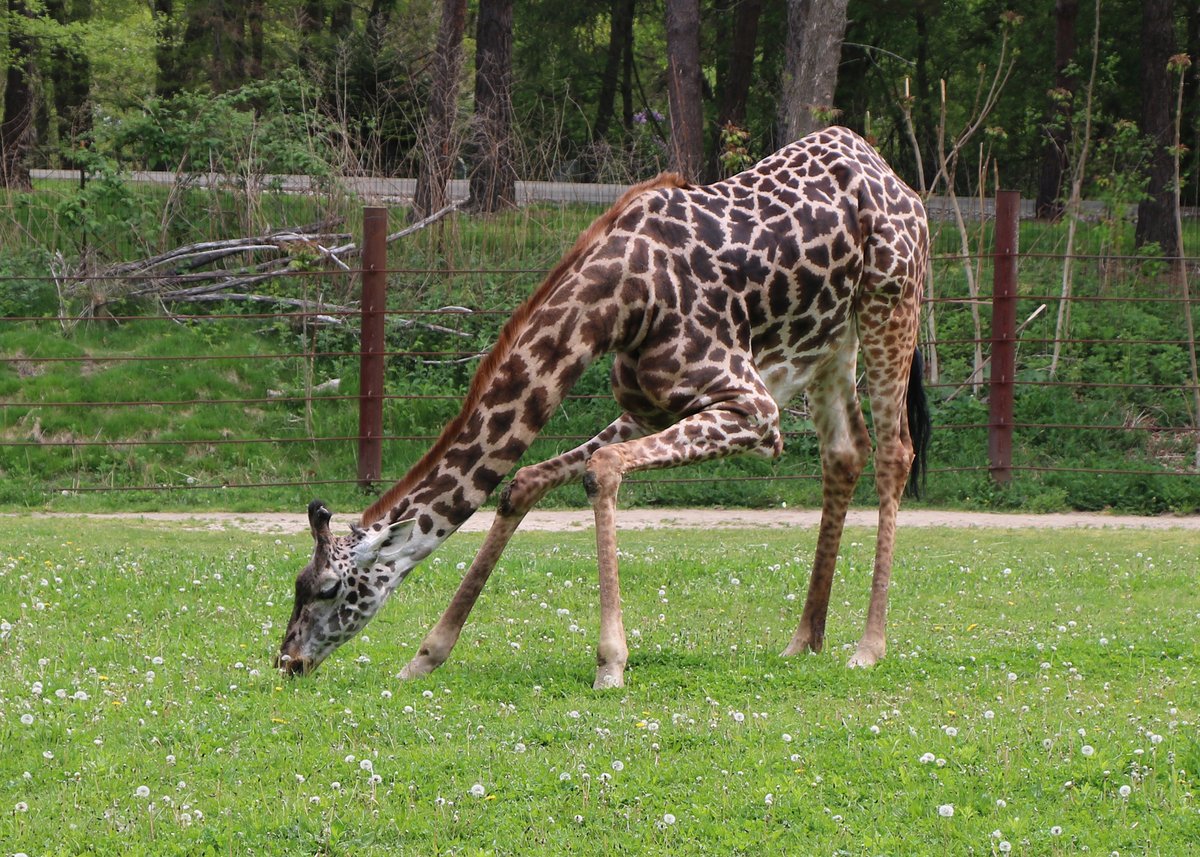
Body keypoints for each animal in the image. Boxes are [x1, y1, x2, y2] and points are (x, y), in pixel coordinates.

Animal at [276, 126, 931, 686]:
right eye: (298, 584)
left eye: (328, 589)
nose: (287, 661)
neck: (618, 303)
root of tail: (892, 176)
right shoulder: (650, 407)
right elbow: (525, 481)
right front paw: (426, 656)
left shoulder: (754, 410)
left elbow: (602, 468)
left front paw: (611, 663)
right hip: (826, 340)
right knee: (844, 452)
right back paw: (804, 640)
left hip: (890, 304)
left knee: (894, 452)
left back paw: (868, 647)